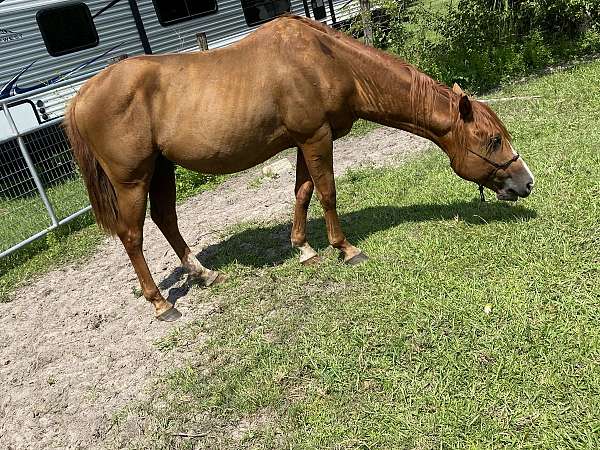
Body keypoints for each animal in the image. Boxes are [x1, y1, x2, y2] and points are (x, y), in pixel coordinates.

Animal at [64, 14, 536, 320]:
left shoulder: (304, 141)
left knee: (166, 219)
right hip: (133, 179)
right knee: (132, 236)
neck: (328, 60)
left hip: (162, 169)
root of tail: (82, 95)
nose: (526, 182)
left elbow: (303, 193)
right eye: (493, 140)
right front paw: (345, 249)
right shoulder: (316, 138)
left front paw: (304, 248)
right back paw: (162, 305)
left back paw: (205, 274)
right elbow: (327, 192)